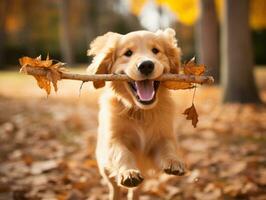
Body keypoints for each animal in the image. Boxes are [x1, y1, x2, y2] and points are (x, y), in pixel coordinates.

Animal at [87, 28, 185, 200]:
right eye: (128, 53)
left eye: (155, 50)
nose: (146, 65)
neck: (140, 111)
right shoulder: (114, 139)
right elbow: (122, 152)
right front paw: (128, 172)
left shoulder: (161, 138)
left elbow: (167, 146)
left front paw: (173, 161)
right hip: (104, 166)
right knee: (114, 187)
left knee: (136, 191)